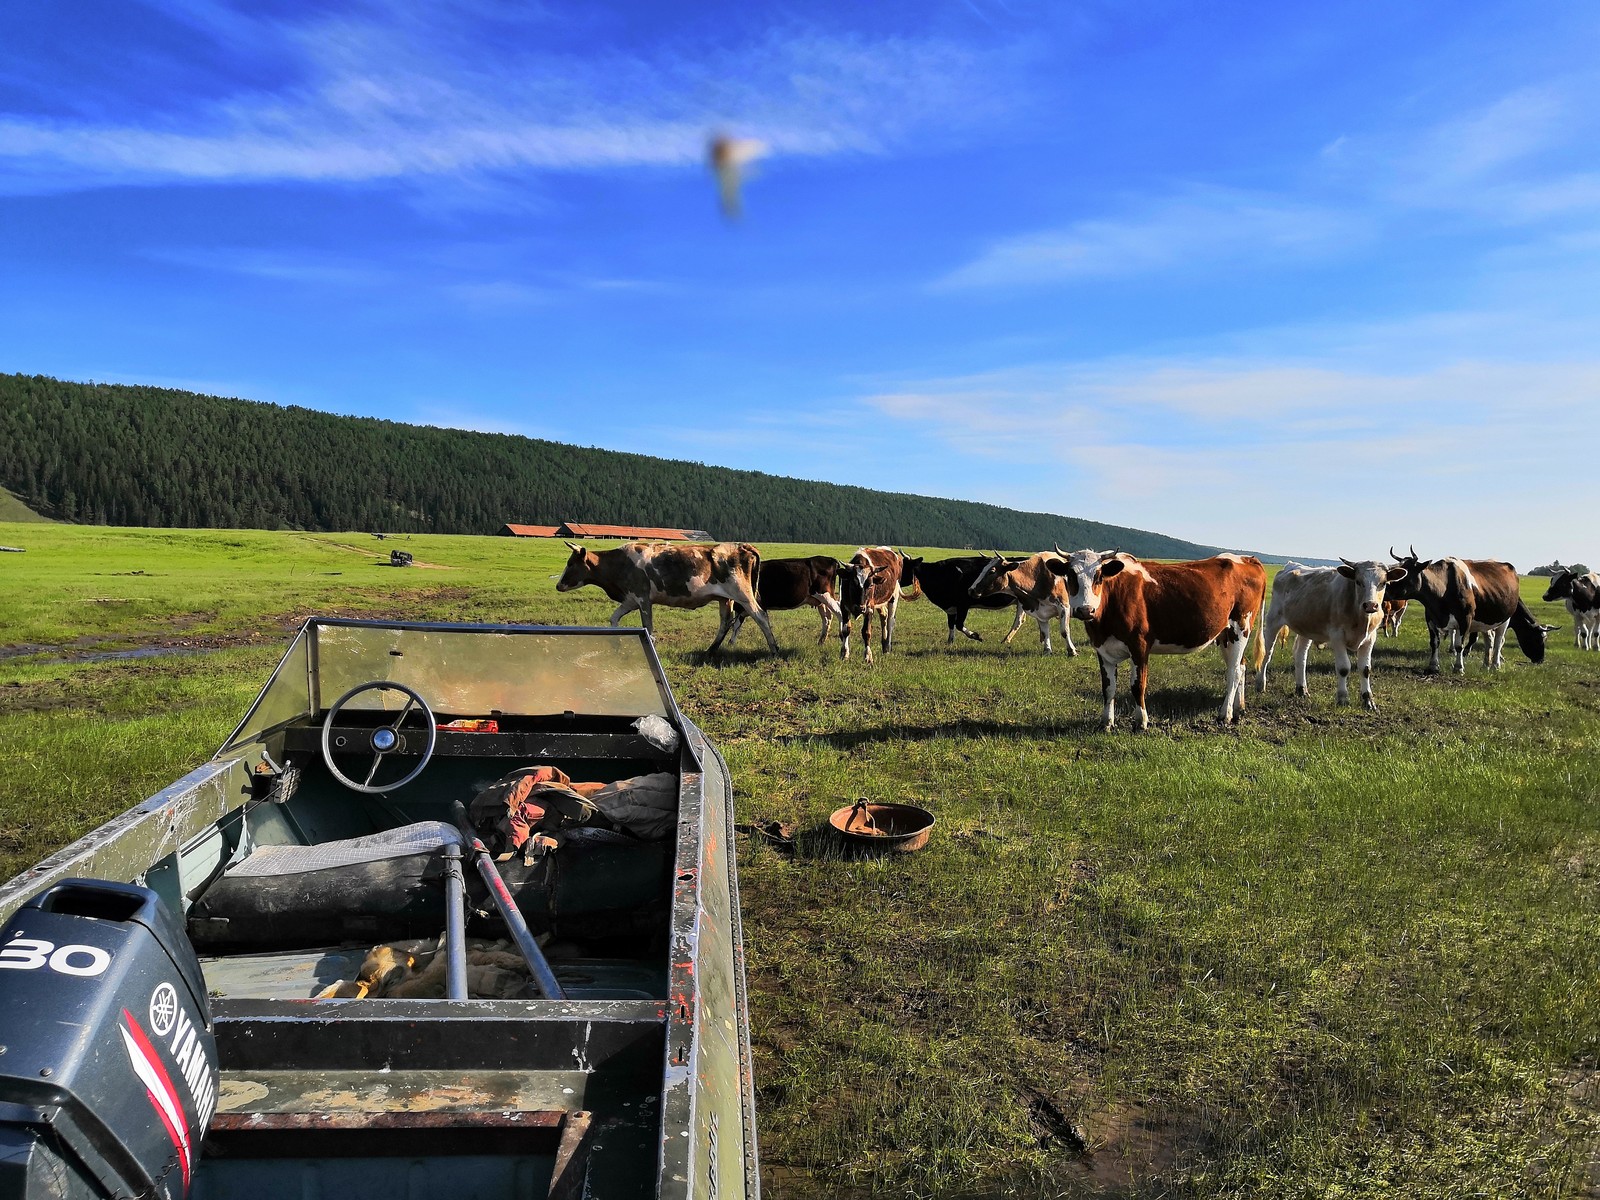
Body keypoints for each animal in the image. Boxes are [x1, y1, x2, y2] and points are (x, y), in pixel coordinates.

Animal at [556, 544, 780, 659]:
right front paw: (617, 645)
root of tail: (741, 546)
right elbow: (614, 618)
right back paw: (711, 650)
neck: (619, 563)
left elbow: (648, 626)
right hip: (725, 599)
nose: (558, 585)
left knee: (760, 616)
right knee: (725, 622)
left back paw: (774, 649)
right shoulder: (630, 599)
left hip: (742, 593)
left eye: (570, 563)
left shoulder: (643, 599)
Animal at [1049, 547, 1260, 732]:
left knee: (1233, 672)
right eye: (1071, 576)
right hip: (1225, 635)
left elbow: (1137, 686)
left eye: (1099, 576)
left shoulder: (1139, 646)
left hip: (1241, 627)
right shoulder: (1102, 649)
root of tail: (1248, 559)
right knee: (1241, 666)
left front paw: (1140, 722)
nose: (1086, 610)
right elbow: (1108, 688)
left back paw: (1225, 714)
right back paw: (1238, 708)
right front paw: (1106, 723)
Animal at [1254, 563, 1408, 720]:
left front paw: (1368, 701)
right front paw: (1343, 699)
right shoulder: (1337, 636)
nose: (1371, 605)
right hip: (1273, 620)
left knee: (1300, 656)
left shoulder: (1370, 639)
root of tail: (1290, 565)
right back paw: (1260, 684)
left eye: (1383, 583)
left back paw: (1302, 689)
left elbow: (1365, 669)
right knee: (1267, 653)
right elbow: (1343, 668)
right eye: (1358, 581)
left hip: (1306, 627)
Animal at [1388, 547, 1548, 672]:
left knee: (1498, 640)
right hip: (1485, 620)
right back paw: (1485, 665)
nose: (1540, 659)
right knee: (1489, 640)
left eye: (1404, 573)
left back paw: (1495, 665)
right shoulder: (1431, 618)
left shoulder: (1465, 619)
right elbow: (1434, 643)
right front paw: (1433, 666)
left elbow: (1460, 645)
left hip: (1505, 619)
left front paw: (1459, 667)